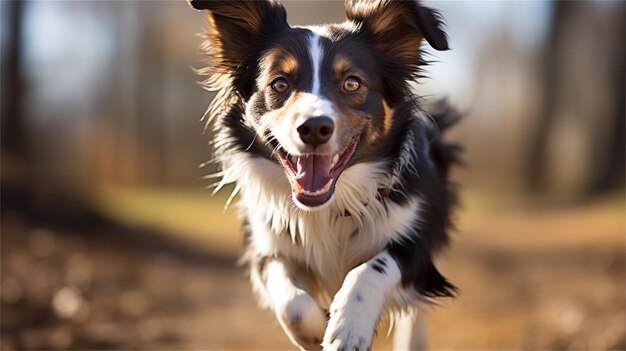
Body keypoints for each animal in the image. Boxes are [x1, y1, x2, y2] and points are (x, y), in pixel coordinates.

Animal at [188, 1, 456, 350]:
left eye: (352, 83)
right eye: (280, 84)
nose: (314, 128)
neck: (329, 206)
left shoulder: (417, 240)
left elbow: (371, 269)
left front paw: (348, 326)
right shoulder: (266, 246)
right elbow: (292, 304)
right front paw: (317, 329)